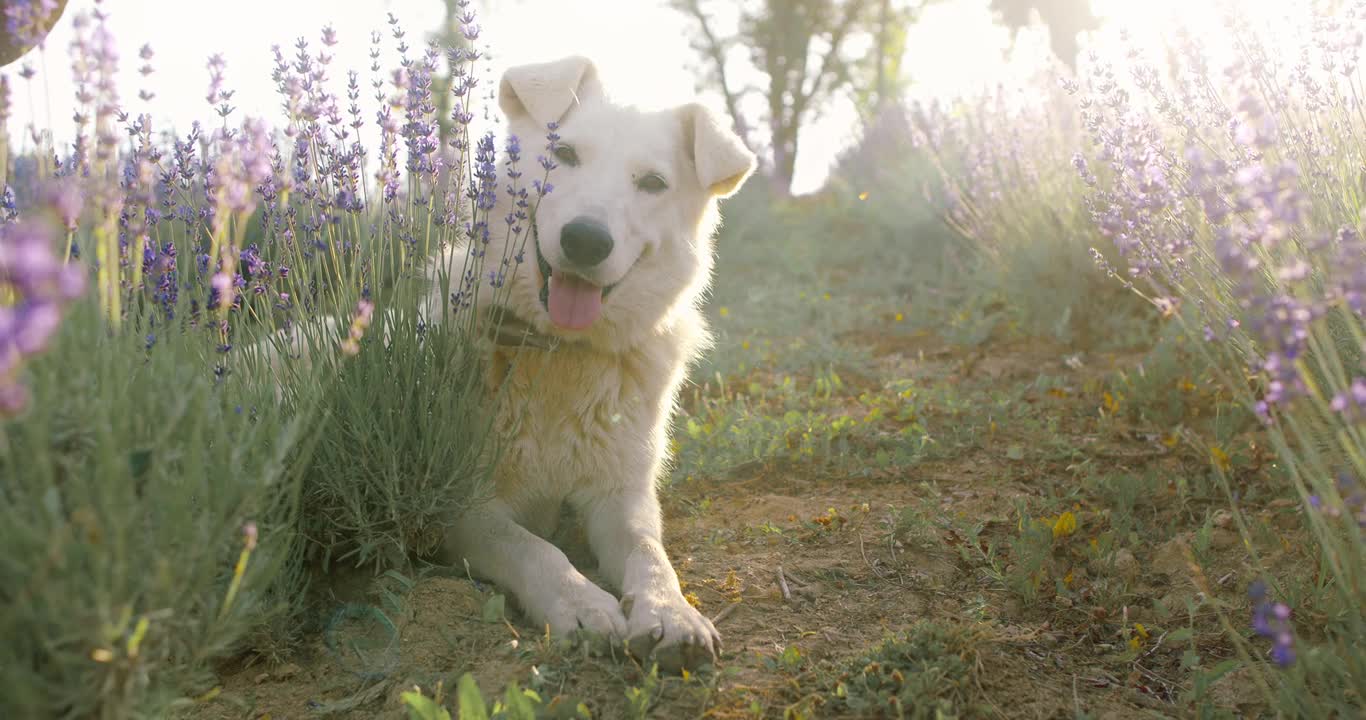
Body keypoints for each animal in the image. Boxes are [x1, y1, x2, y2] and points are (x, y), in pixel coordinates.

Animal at [431, 54, 759, 669]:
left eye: (652, 184)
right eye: (564, 155)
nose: (586, 240)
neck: (561, 356)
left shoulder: (622, 498)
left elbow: (652, 554)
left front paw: (671, 613)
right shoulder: (465, 509)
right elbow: (533, 548)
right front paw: (582, 604)